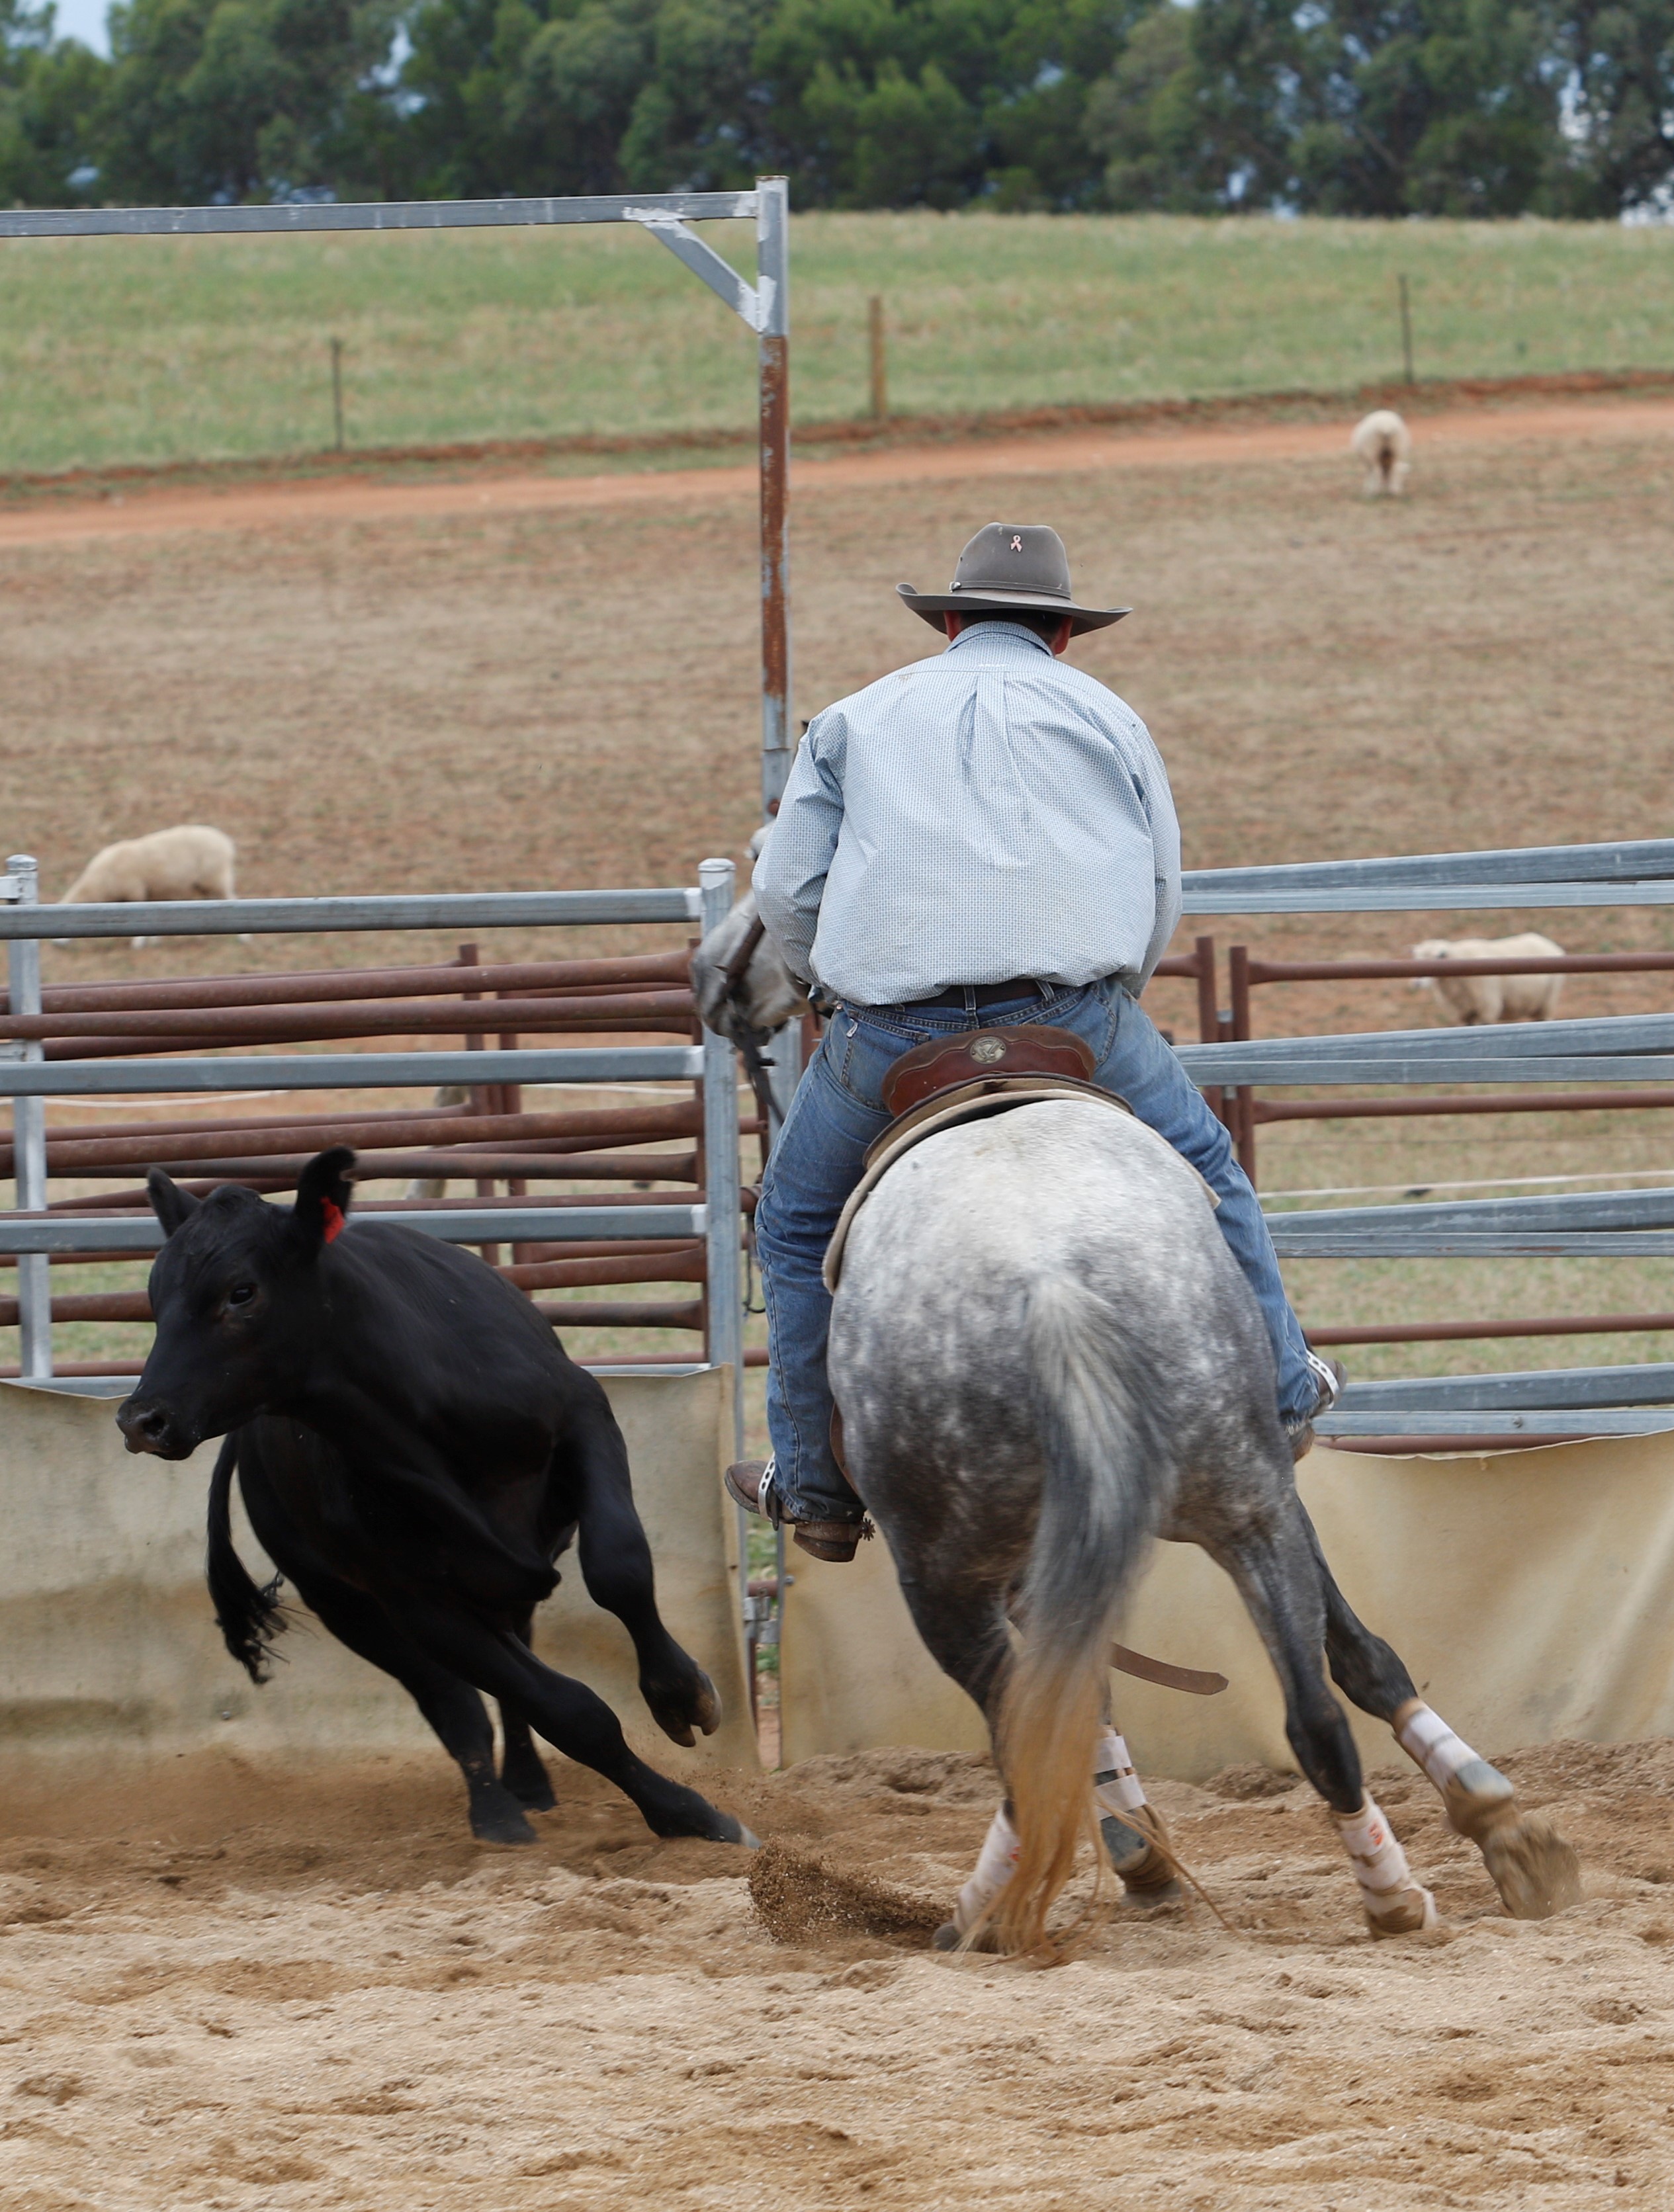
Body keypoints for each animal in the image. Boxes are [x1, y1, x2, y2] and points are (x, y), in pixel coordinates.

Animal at [117, 1147, 754, 1853]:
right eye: (156, 1296)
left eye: (241, 1292)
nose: (142, 1419)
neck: (422, 1418)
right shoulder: (414, 1599)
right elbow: (565, 1710)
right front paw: (690, 1815)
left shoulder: (585, 1417)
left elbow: (620, 1568)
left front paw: (682, 1695)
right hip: (347, 1606)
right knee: (453, 1703)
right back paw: (497, 1811)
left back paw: (530, 1783)